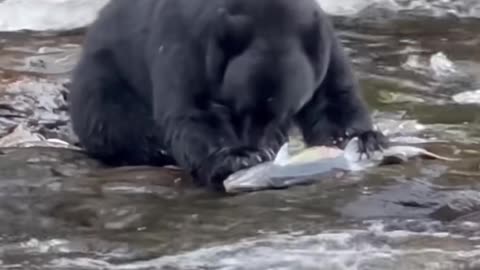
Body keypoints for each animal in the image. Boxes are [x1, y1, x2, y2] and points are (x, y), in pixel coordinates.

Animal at [69, 0, 388, 191]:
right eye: (237, 107)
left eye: (285, 113)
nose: (261, 147)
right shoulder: (188, 41)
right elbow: (194, 108)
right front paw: (238, 156)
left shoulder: (321, 41)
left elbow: (332, 95)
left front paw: (365, 139)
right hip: (105, 85)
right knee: (119, 123)